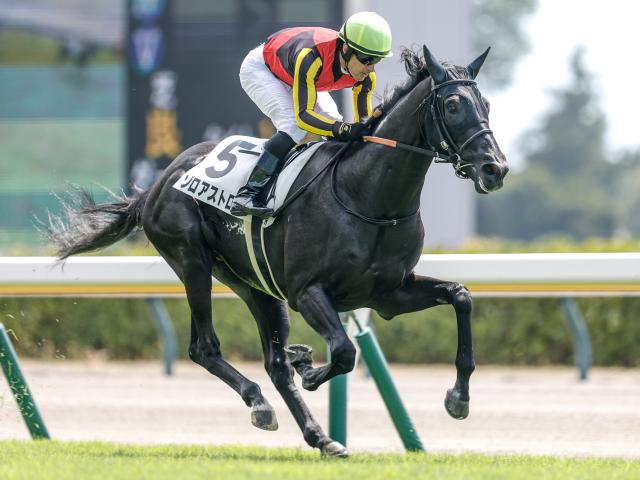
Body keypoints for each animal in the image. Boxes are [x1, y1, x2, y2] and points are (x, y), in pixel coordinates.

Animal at [46, 45, 508, 457]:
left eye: (485, 102)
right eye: (452, 104)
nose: (495, 168)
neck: (369, 197)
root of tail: (157, 183)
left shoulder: (389, 294)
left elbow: (460, 296)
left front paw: (458, 398)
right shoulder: (307, 292)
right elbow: (344, 352)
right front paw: (311, 369)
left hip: (255, 285)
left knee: (274, 363)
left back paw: (320, 436)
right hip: (192, 261)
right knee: (205, 347)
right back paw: (260, 404)